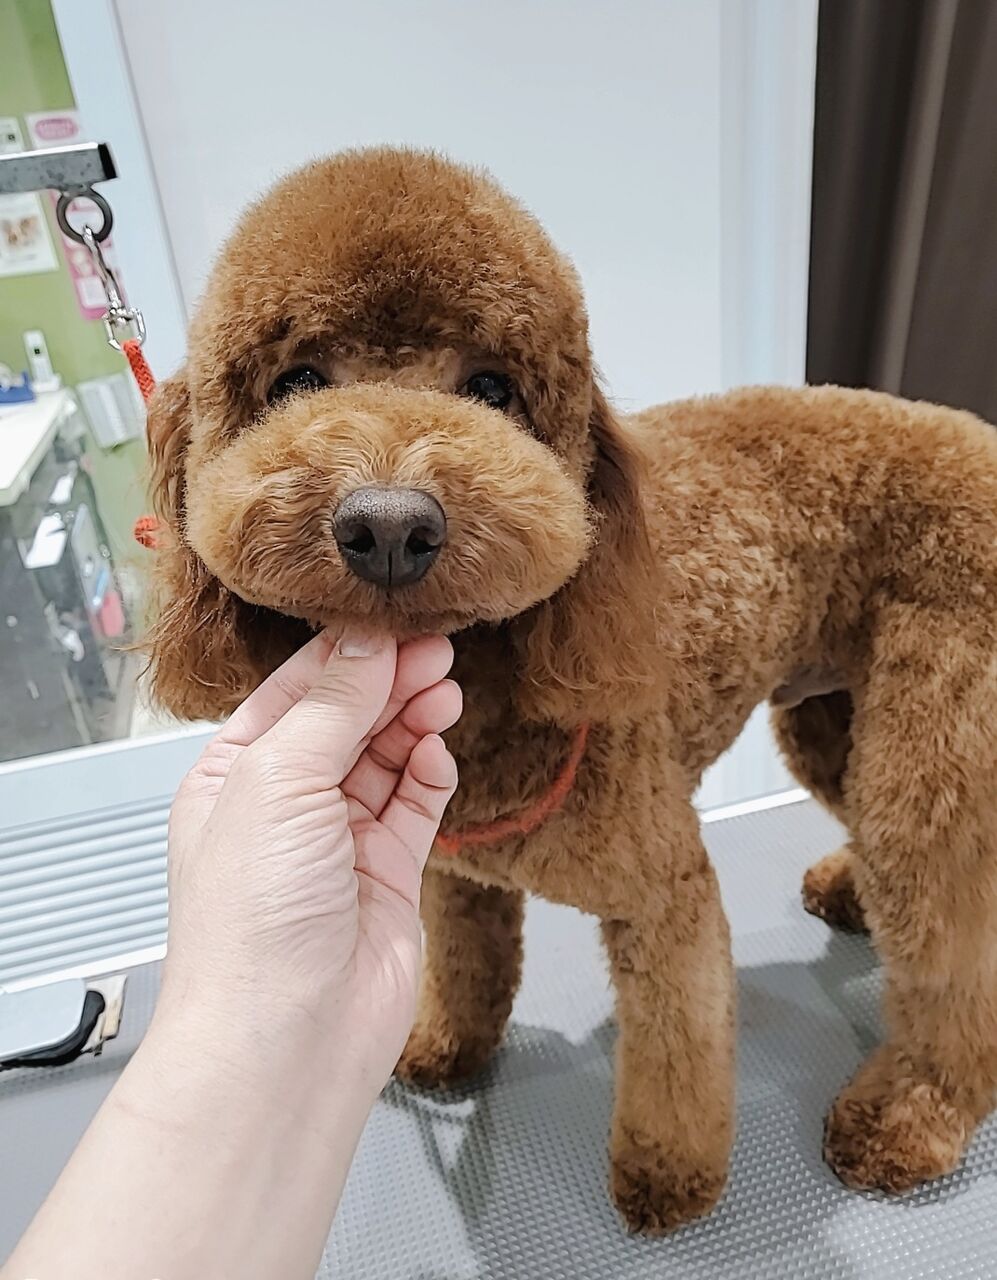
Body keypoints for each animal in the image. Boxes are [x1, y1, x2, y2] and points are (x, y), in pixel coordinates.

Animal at [146, 147, 997, 1228]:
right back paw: (848, 888)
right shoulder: (453, 875)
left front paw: (667, 1172)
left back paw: (909, 1113)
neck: (492, 701)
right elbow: (467, 965)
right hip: (831, 716)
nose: (389, 524)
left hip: (932, 738)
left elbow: (677, 1041)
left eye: (492, 387)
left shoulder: (663, 892)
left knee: (949, 934)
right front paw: (445, 1046)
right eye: (294, 380)